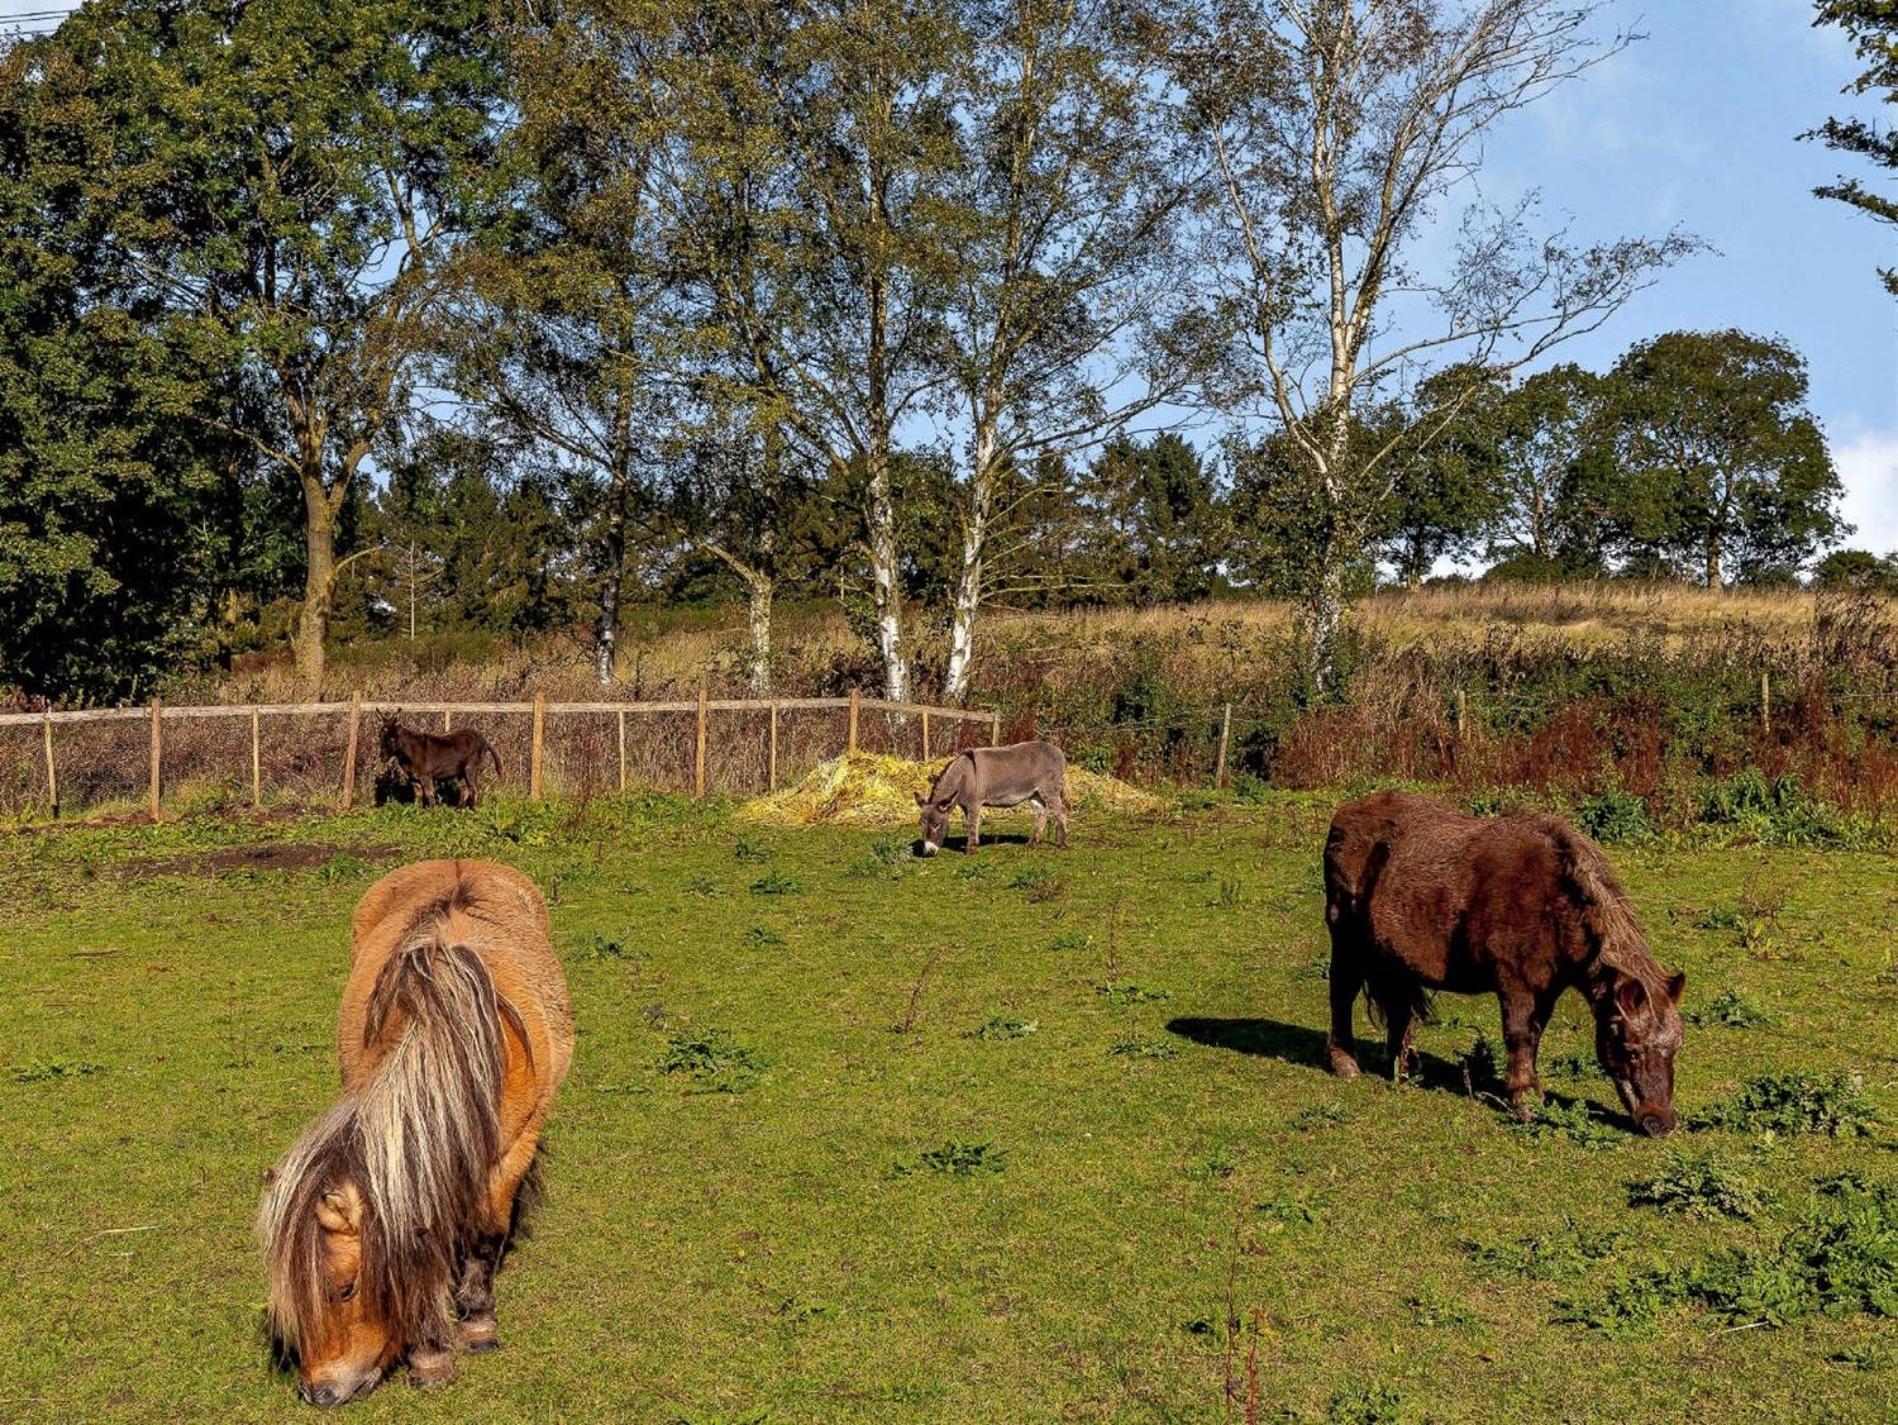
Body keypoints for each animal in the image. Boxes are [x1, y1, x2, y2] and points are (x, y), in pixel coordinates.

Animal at [258, 857, 569, 1404]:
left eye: (345, 1288)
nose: (317, 1392)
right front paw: (431, 1354)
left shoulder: (513, 1149)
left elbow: (485, 1234)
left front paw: (477, 1323)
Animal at [1321, 793, 1693, 1138]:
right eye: (1632, 1051)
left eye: (1675, 1049)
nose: (1661, 1123)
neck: (1551, 904)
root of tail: (1345, 814)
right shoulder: (1515, 984)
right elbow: (1518, 1036)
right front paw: (1524, 1100)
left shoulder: (1545, 991)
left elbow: (1534, 1036)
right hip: (1347, 942)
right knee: (1342, 994)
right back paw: (1345, 1062)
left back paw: (1404, 1067)